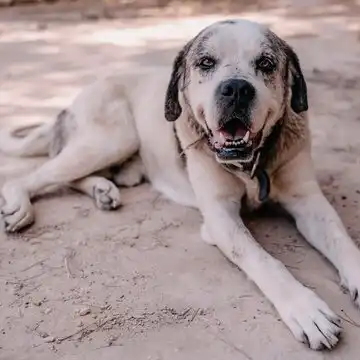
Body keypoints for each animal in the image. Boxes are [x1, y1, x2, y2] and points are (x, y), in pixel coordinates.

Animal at [0, 19, 360, 348]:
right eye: (206, 63)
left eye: (266, 64)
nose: (236, 89)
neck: (252, 165)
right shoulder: (220, 218)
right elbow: (265, 261)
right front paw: (305, 308)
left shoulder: (309, 201)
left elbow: (341, 240)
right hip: (112, 139)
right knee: (33, 175)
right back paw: (20, 203)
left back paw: (102, 190)